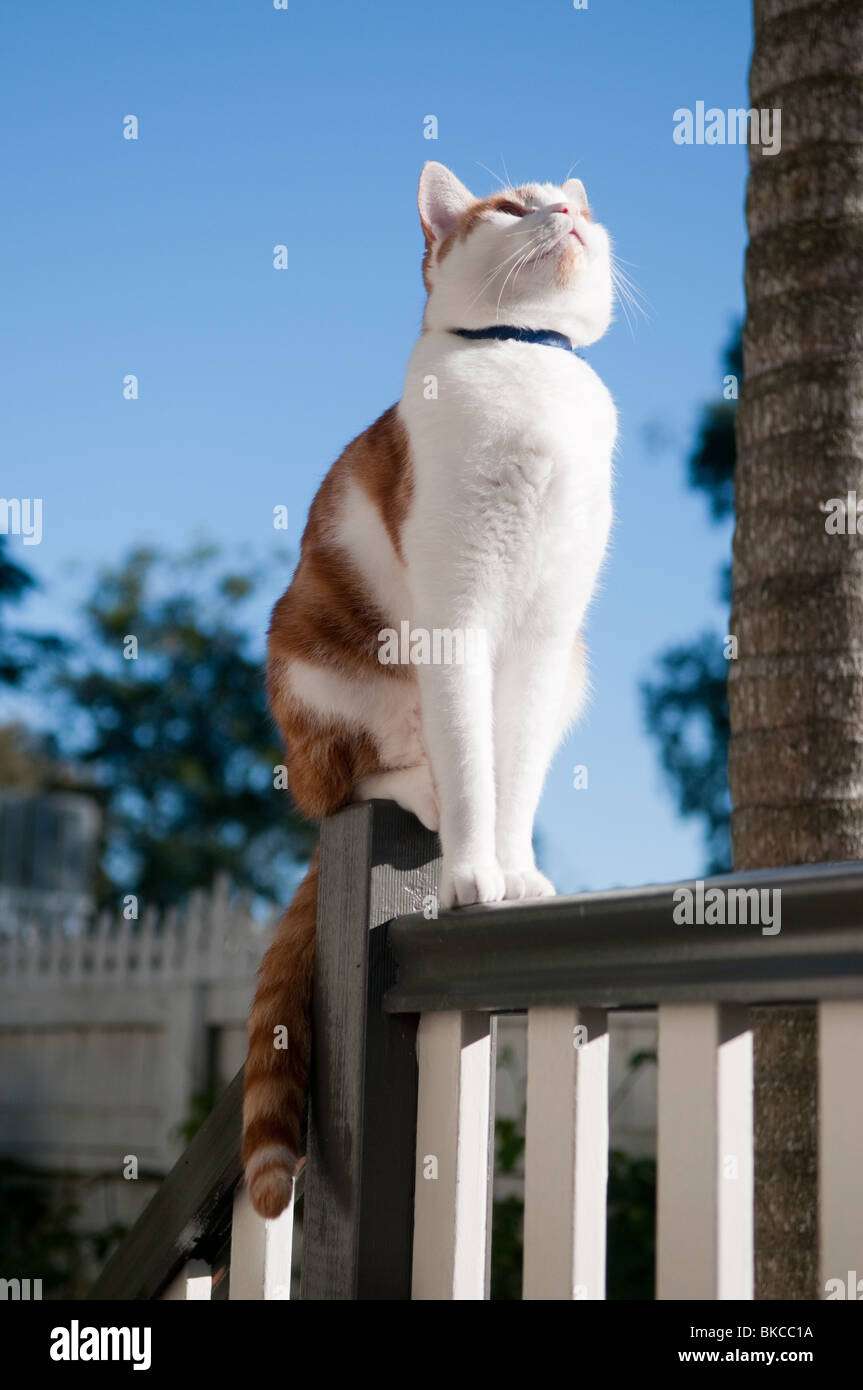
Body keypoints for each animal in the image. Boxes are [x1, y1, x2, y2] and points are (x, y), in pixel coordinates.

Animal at [241, 157, 617, 1212]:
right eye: (513, 206)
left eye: (573, 204)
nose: (567, 213)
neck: (528, 366)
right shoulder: (458, 619)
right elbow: (475, 764)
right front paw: (470, 876)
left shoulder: (542, 638)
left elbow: (515, 773)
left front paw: (515, 872)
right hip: (312, 661)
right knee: (347, 783)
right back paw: (422, 794)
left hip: (572, 667)